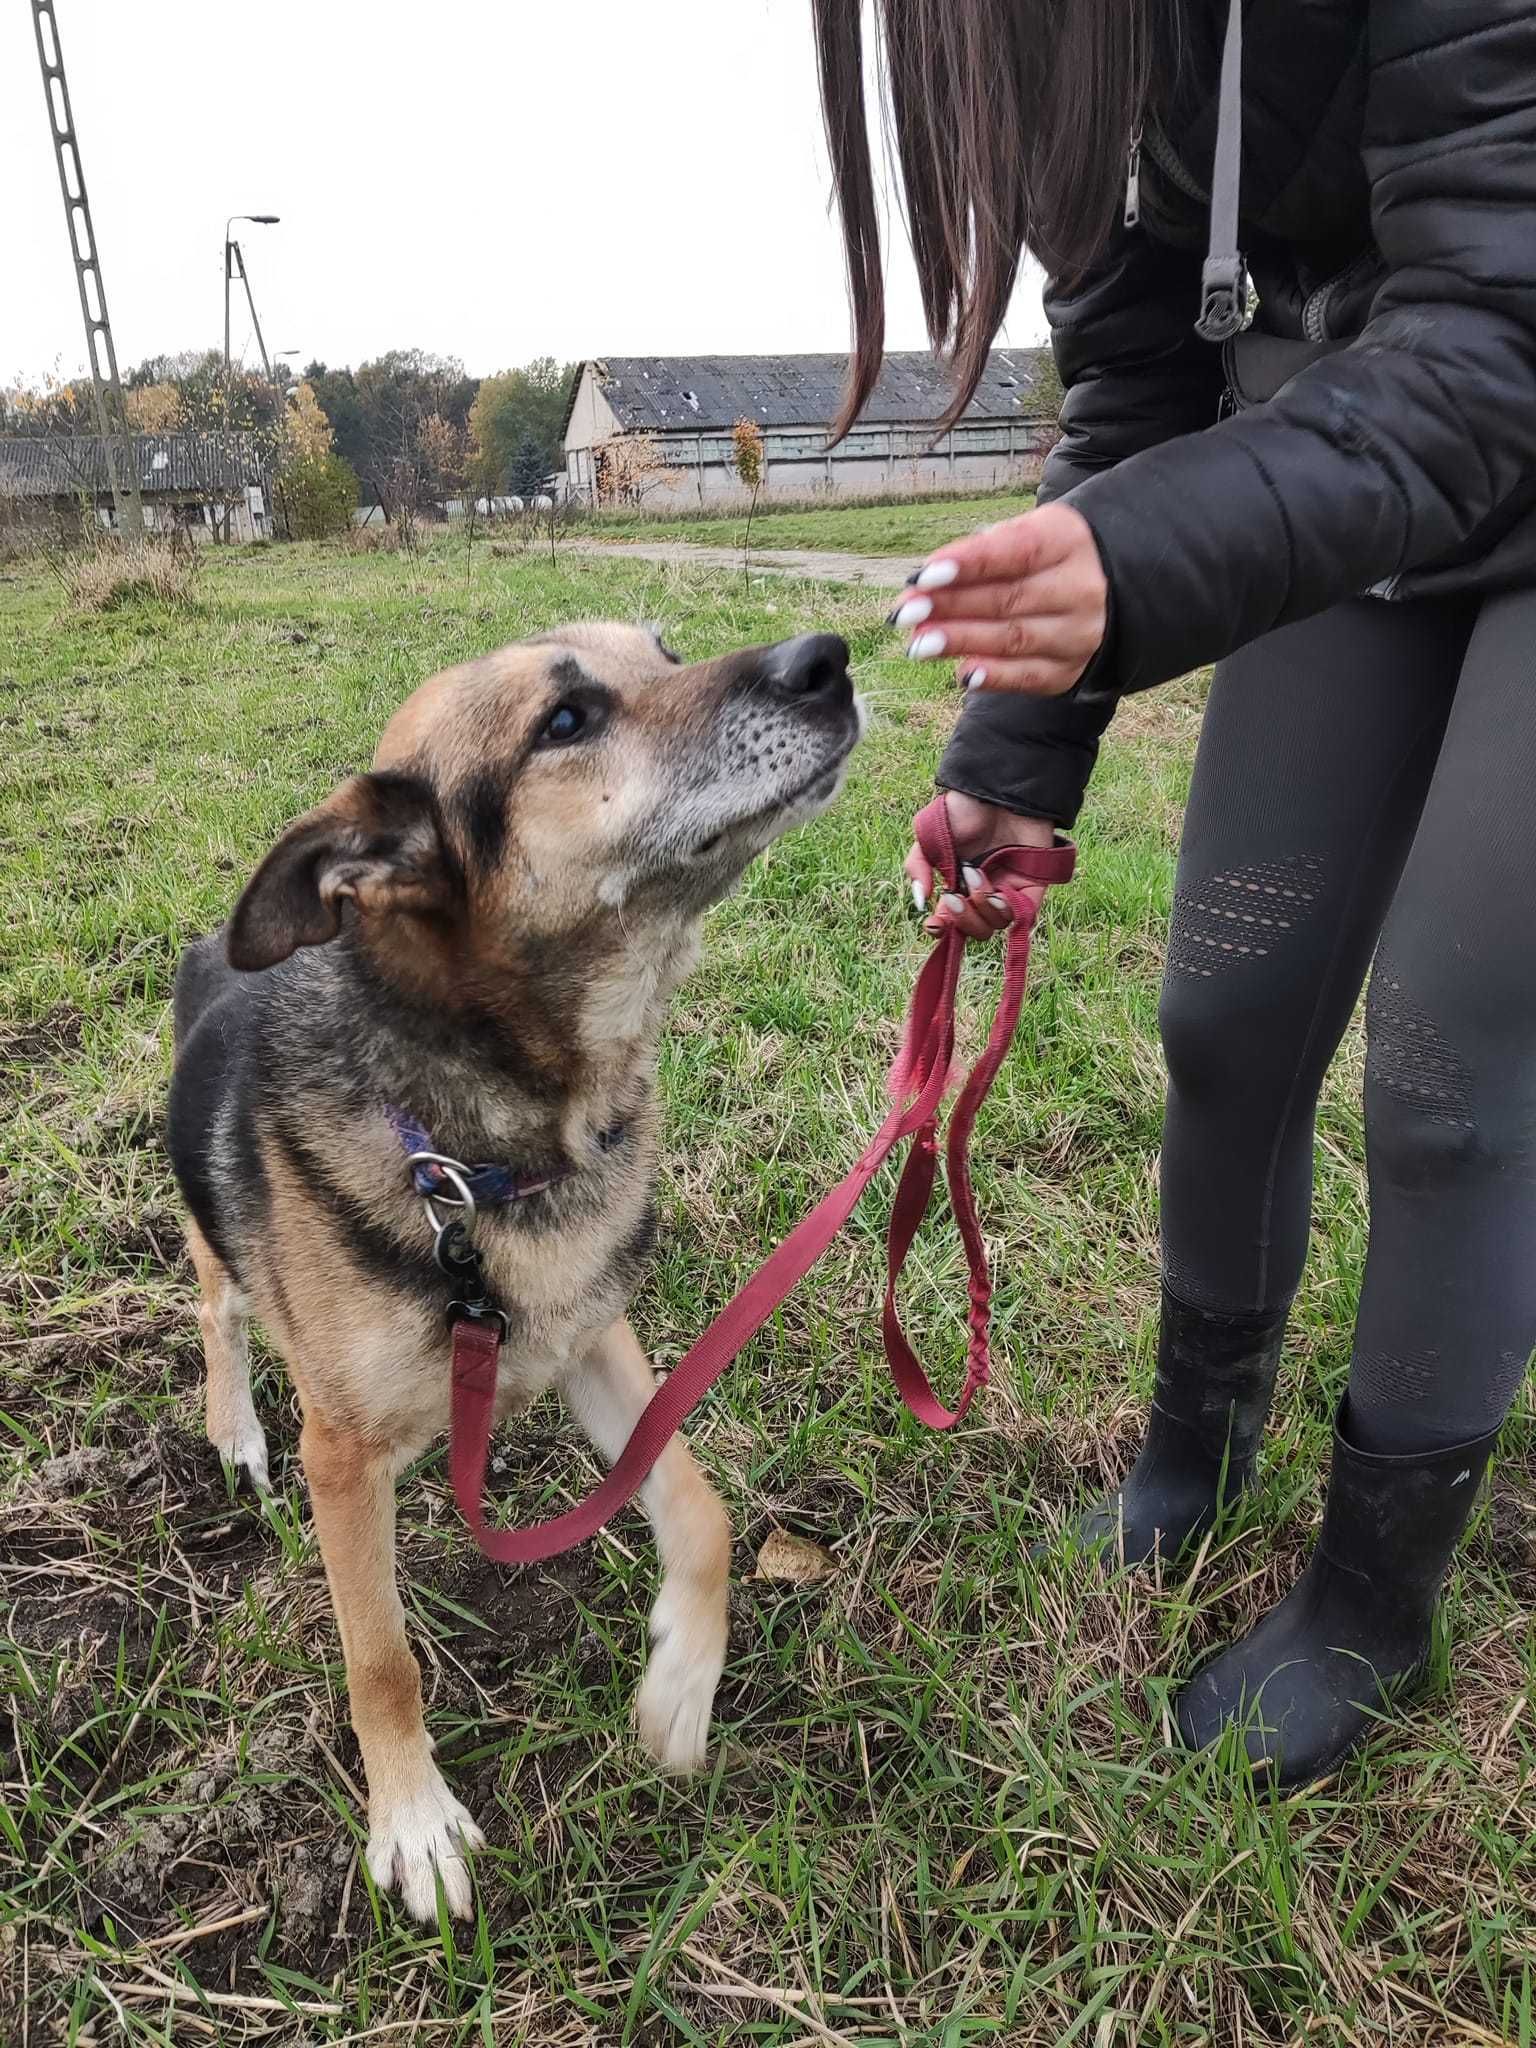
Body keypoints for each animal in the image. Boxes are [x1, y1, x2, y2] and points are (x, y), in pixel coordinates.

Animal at [171, 622, 868, 1916]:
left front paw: (680, 1687)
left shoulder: (589, 1335)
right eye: (566, 723)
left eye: (667, 650)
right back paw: (231, 1424)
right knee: (218, 1310)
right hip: (211, 1228)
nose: (829, 657)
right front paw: (412, 1819)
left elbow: (700, 1506)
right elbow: (381, 1655)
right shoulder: (342, 1455)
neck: (491, 1150)